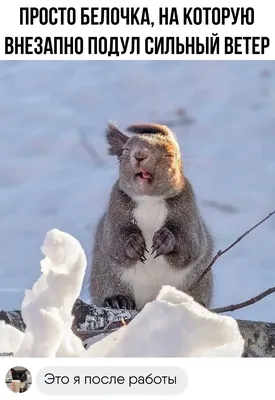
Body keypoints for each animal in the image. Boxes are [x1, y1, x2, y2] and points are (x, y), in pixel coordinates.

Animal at [89, 123, 215, 310]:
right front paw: (132, 243)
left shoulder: (188, 211)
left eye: (170, 154)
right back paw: (118, 299)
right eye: (126, 150)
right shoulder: (115, 210)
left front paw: (166, 239)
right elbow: (113, 242)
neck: (149, 200)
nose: (140, 154)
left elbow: (191, 245)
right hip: (107, 278)